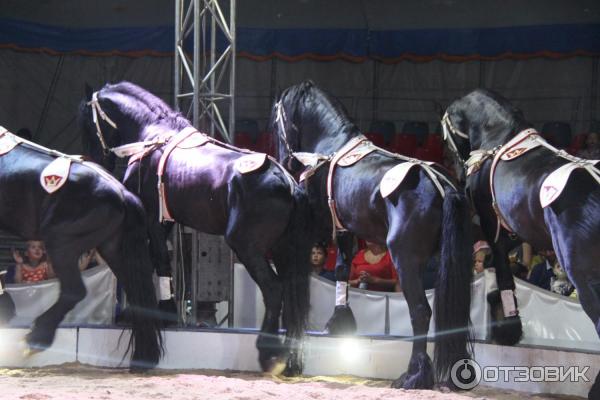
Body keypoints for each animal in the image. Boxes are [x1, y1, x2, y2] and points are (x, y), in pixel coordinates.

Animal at [0, 127, 162, 368]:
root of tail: (123, 193)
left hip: (61, 243)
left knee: (74, 291)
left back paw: (35, 339)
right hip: (113, 250)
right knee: (138, 298)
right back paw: (143, 359)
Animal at [79, 81, 312, 376]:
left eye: (88, 122)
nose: (99, 160)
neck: (154, 136)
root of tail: (288, 182)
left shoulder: (152, 218)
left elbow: (160, 260)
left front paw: (165, 313)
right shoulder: (165, 222)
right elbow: (163, 264)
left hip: (247, 246)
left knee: (273, 290)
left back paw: (268, 352)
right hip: (282, 250)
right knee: (293, 298)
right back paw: (292, 361)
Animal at [270, 81, 474, 390]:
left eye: (277, 121)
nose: (284, 160)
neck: (331, 149)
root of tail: (443, 186)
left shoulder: (320, 225)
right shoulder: (344, 229)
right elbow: (342, 269)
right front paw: (339, 323)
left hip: (405, 259)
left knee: (420, 311)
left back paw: (413, 375)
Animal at [442, 88, 600, 400]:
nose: (458, 172)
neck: (499, 135)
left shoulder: (492, 223)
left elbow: (504, 271)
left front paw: (508, 327)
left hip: (584, 273)